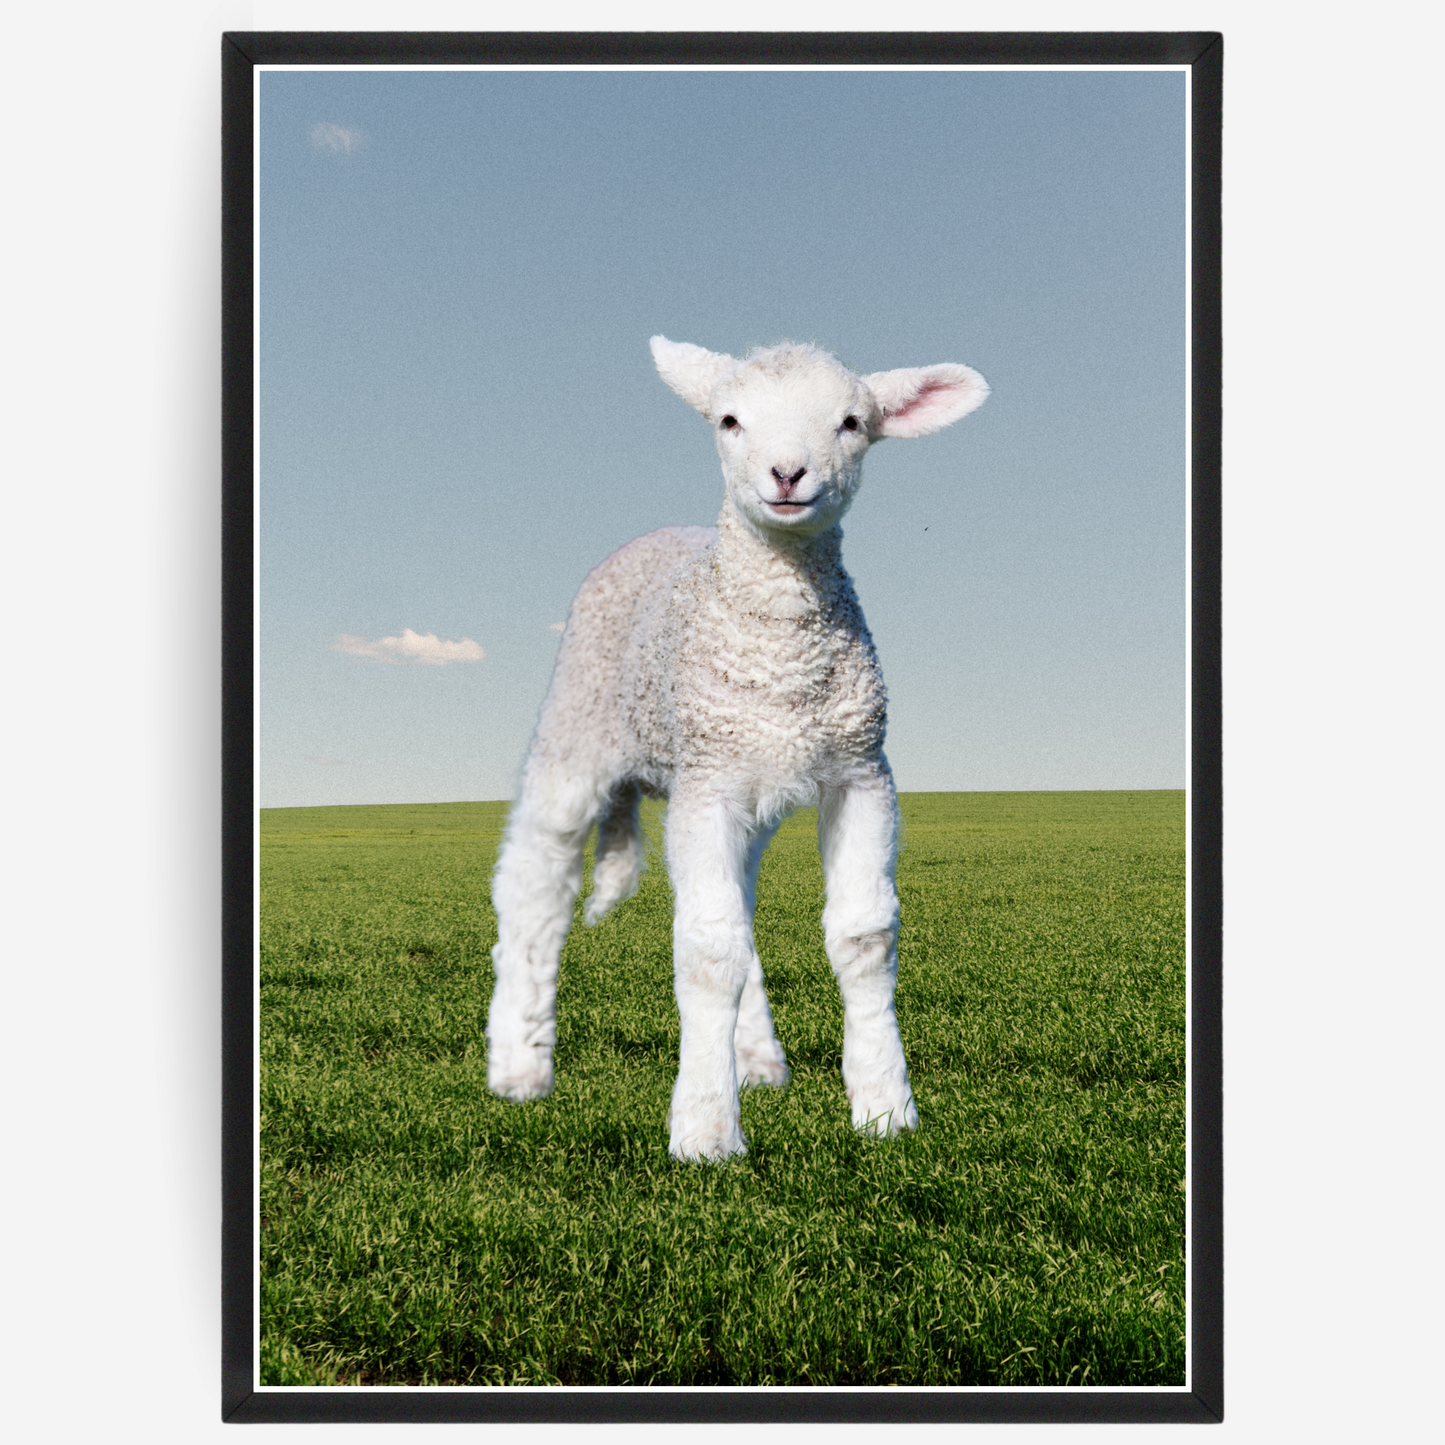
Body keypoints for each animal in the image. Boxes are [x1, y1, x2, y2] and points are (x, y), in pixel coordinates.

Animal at [486, 336, 989, 1161]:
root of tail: (662, 532)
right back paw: (519, 1068)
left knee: (737, 906)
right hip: (576, 727)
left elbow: (861, 935)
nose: (787, 473)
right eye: (728, 419)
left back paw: (755, 1059)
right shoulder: (707, 783)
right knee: (535, 883)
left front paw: (884, 1107)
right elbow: (706, 950)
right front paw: (704, 1131)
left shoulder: (861, 771)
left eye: (851, 422)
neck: (779, 649)